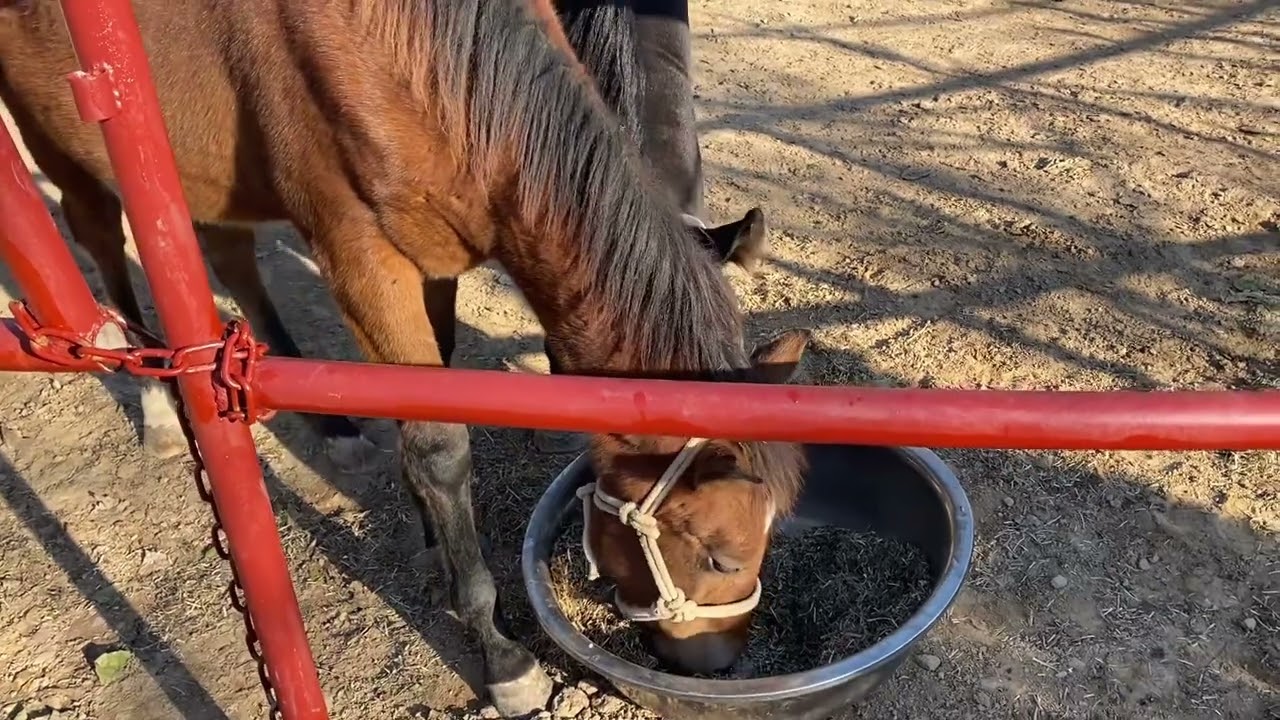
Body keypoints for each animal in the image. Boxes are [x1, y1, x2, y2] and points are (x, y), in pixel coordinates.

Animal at [0, 1, 811, 715]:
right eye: (720, 557)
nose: (716, 663)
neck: (424, 63)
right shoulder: (364, 260)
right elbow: (442, 446)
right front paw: (501, 656)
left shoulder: (436, 252)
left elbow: (421, 392)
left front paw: (428, 536)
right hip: (63, 143)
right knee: (102, 246)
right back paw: (160, 407)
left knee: (227, 259)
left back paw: (328, 427)